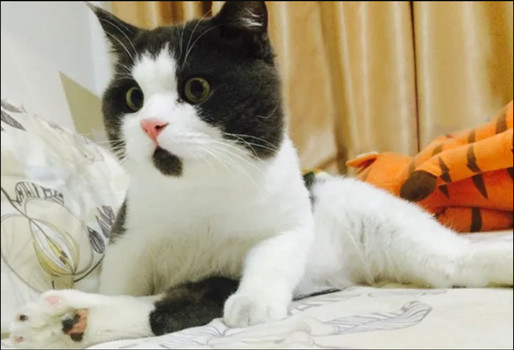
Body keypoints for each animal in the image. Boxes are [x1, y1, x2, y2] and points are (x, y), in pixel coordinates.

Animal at [10, 1, 510, 348]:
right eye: (133, 98)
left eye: (197, 87)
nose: (151, 124)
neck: (200, 188)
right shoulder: (130, 237)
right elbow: (134, 291)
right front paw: (66, 320)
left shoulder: (287, 218)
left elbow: (268, 253)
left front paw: (253, 303)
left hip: (377, 221)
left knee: (452, 261)